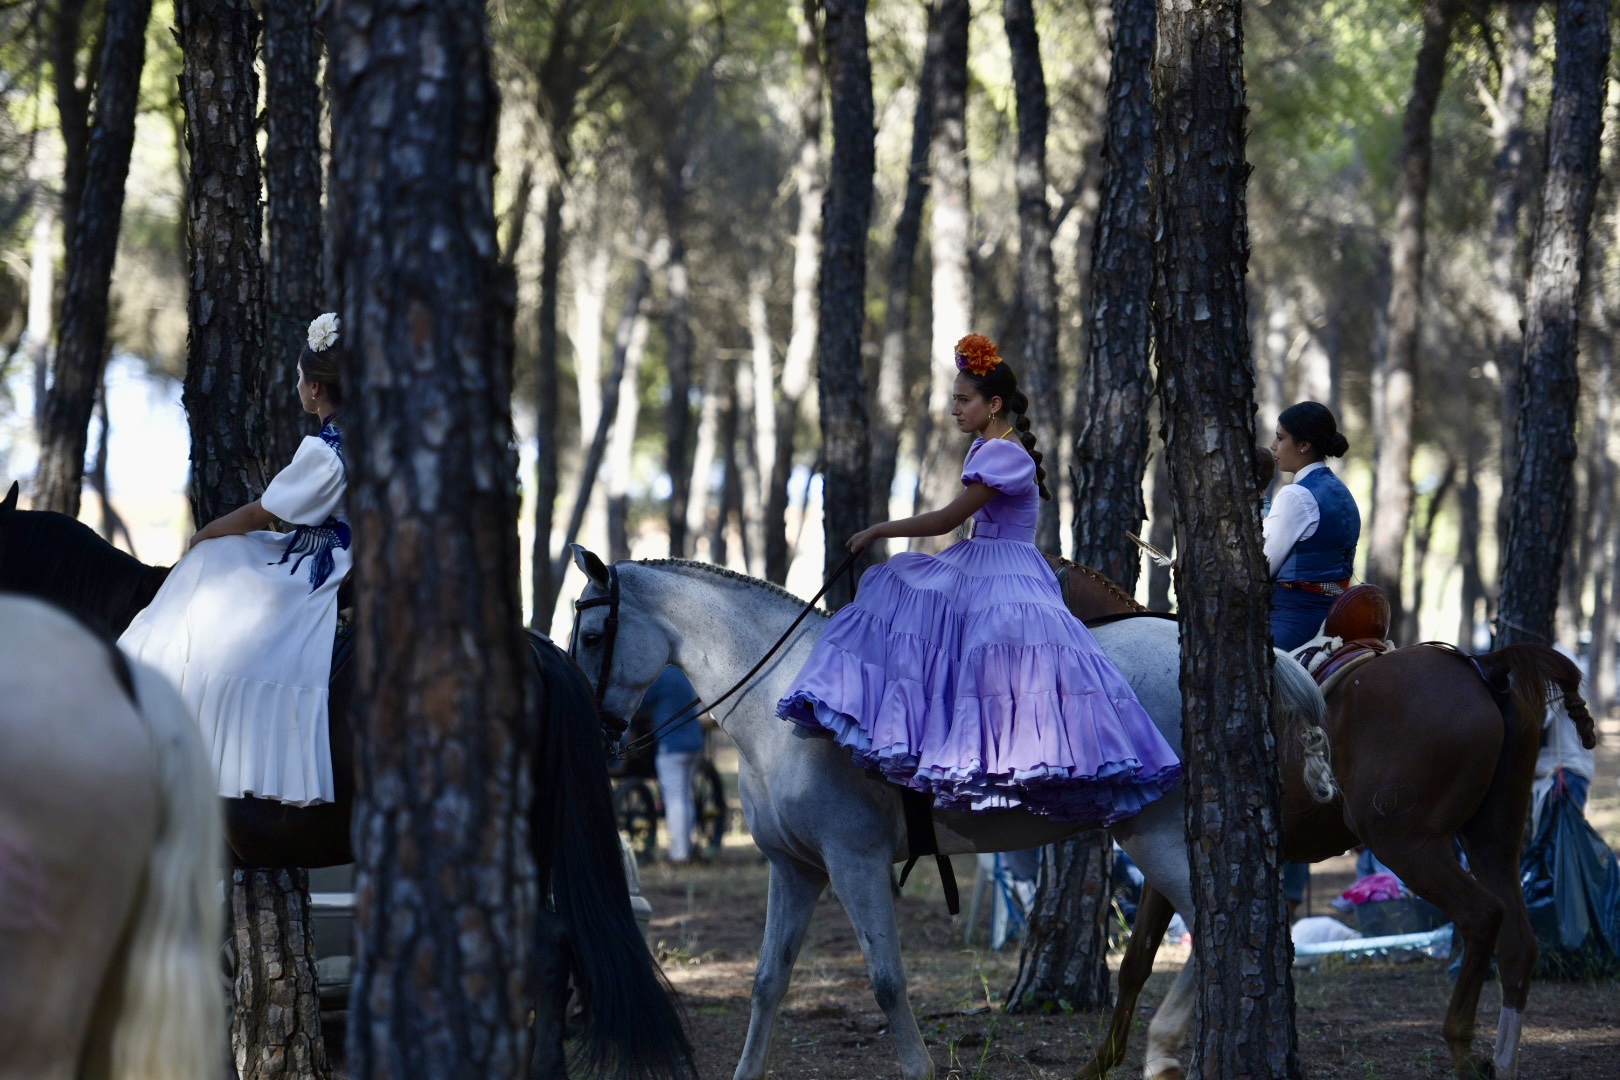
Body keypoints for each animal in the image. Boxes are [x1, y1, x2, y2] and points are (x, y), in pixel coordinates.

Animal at [567, 550, 1328, 1080]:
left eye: (594, 633)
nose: (592, 735)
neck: (783, 701)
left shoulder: (855, 863)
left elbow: (885, 982)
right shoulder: (796, 869)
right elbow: (766, 983)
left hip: (1156, 833)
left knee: (1216, 926)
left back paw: (1165, 1049)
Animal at [1036, 557, 1581, 1080]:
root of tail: (1484, 669)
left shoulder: (1165, 848)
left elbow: (1138, 960)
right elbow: (1136, 961)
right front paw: (1100, 1063)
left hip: (1406, 843)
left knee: (1482, 915)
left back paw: (1463, 1048)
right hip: (1493, 840)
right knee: (1519, 943)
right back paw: (1504, 1061)